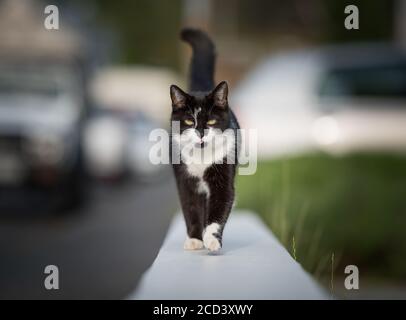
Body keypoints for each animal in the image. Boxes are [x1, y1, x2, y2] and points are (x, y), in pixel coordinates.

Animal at [170, 28, 239, 252]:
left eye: (210, 120)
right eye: (189, 121)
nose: (200, 132)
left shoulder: (223, 179)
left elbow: (218, 211)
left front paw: (212, 240)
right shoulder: (185, 181)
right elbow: (190, 209)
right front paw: (194, 239)